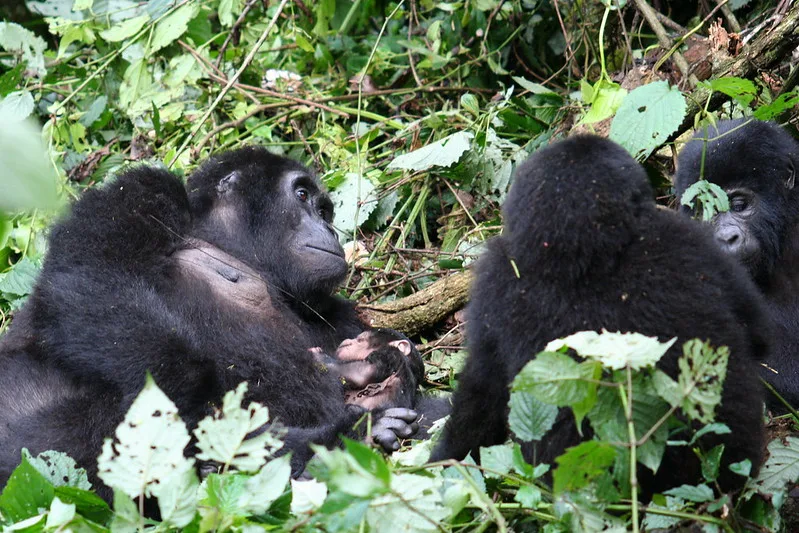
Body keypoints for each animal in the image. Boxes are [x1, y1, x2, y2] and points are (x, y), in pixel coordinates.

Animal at [0, 144, 424, 490]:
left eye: (324, 210)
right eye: (302, 195)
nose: (330, 230)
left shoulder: (334, 311)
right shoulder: (144, 187)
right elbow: (94, 276)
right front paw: (204, 407)